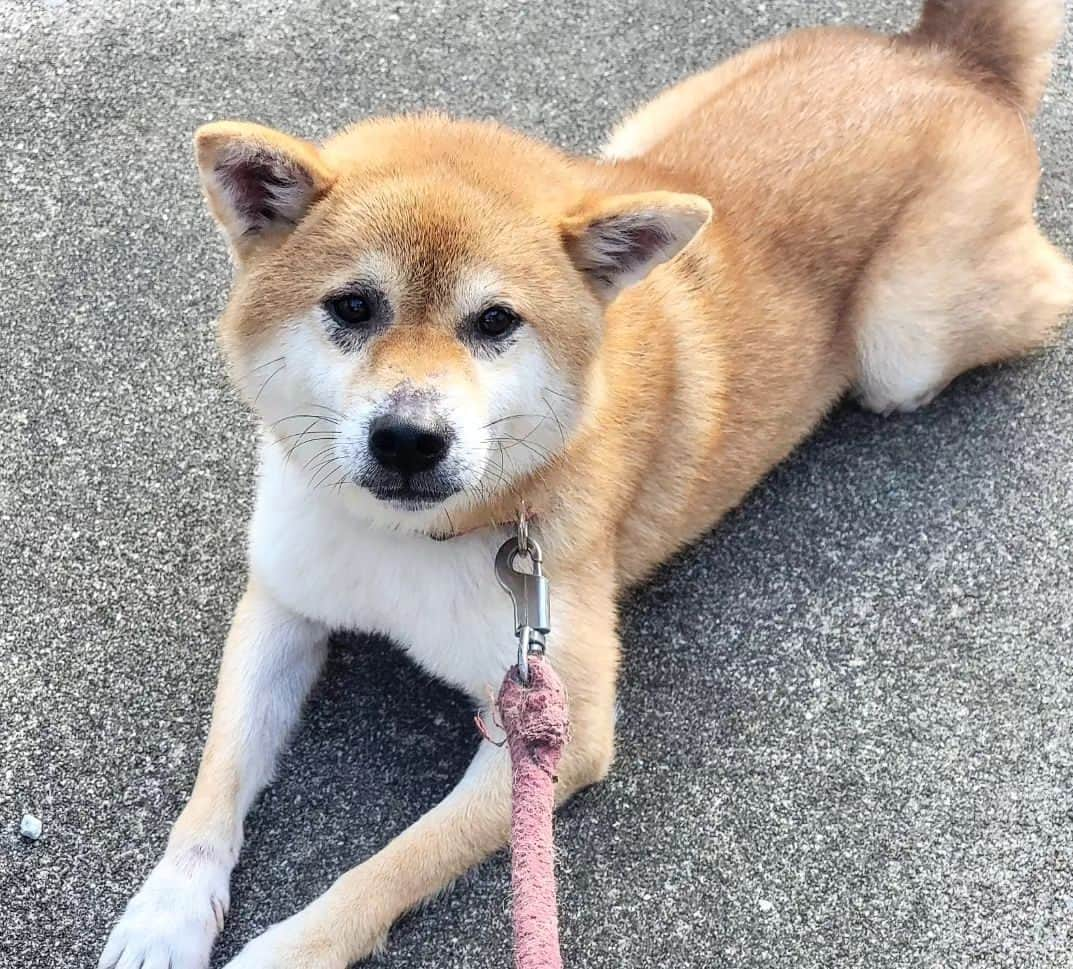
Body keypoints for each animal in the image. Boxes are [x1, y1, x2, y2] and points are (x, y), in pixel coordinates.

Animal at [100, 1, 1073, 969]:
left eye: (495, 321)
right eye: (352, 307)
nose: (410, 439)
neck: (401, 539)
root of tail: (940, 56)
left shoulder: (554, 731)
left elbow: (385, 868)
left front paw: (285, 948)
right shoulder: (282, 603)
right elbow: (217, 776)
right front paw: (165, 913)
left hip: (902, 343)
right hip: (631, 150)